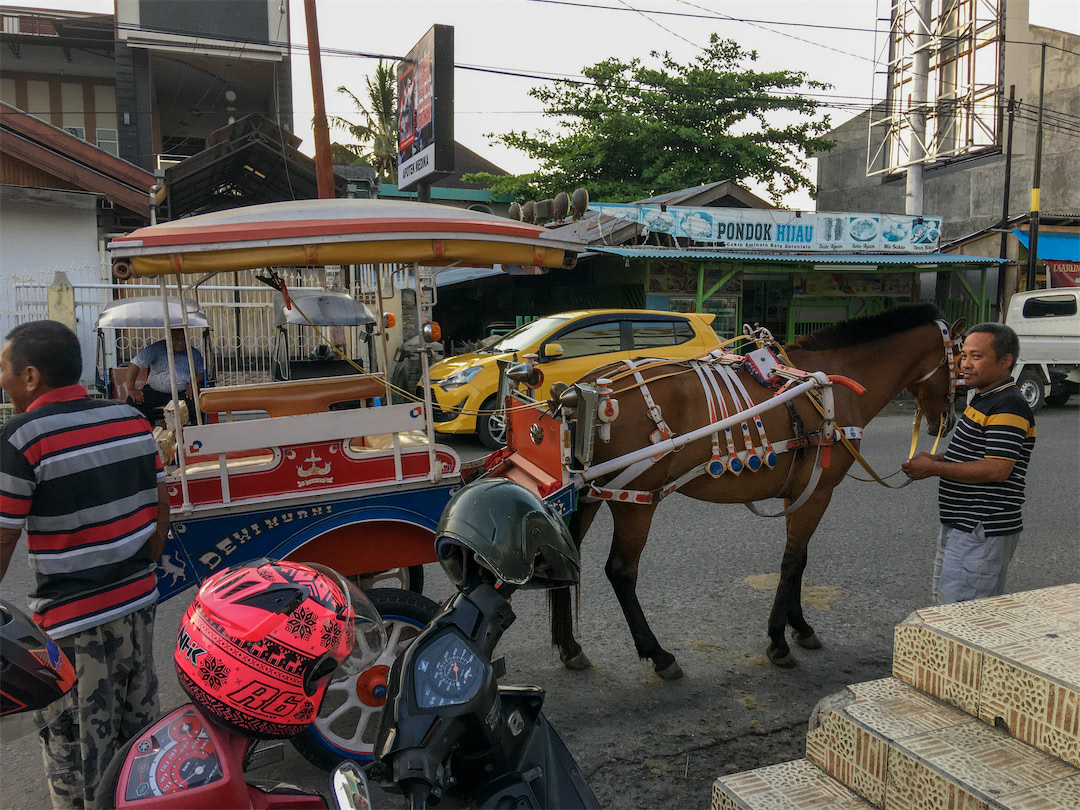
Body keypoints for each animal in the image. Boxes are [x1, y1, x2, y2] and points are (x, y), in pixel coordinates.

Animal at [548, 304, 963, 678]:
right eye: (960, 364)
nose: (948, 420)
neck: (837, 382)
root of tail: (583, 389)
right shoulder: (819, 492)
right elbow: (792, 561)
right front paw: (779, 640)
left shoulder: (801, 491)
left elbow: (800, 559)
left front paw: (800, 627)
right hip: (636, 501)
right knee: (621, 571)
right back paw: (659, 654)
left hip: (586, 497)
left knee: (566, 558)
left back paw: (571, 647)